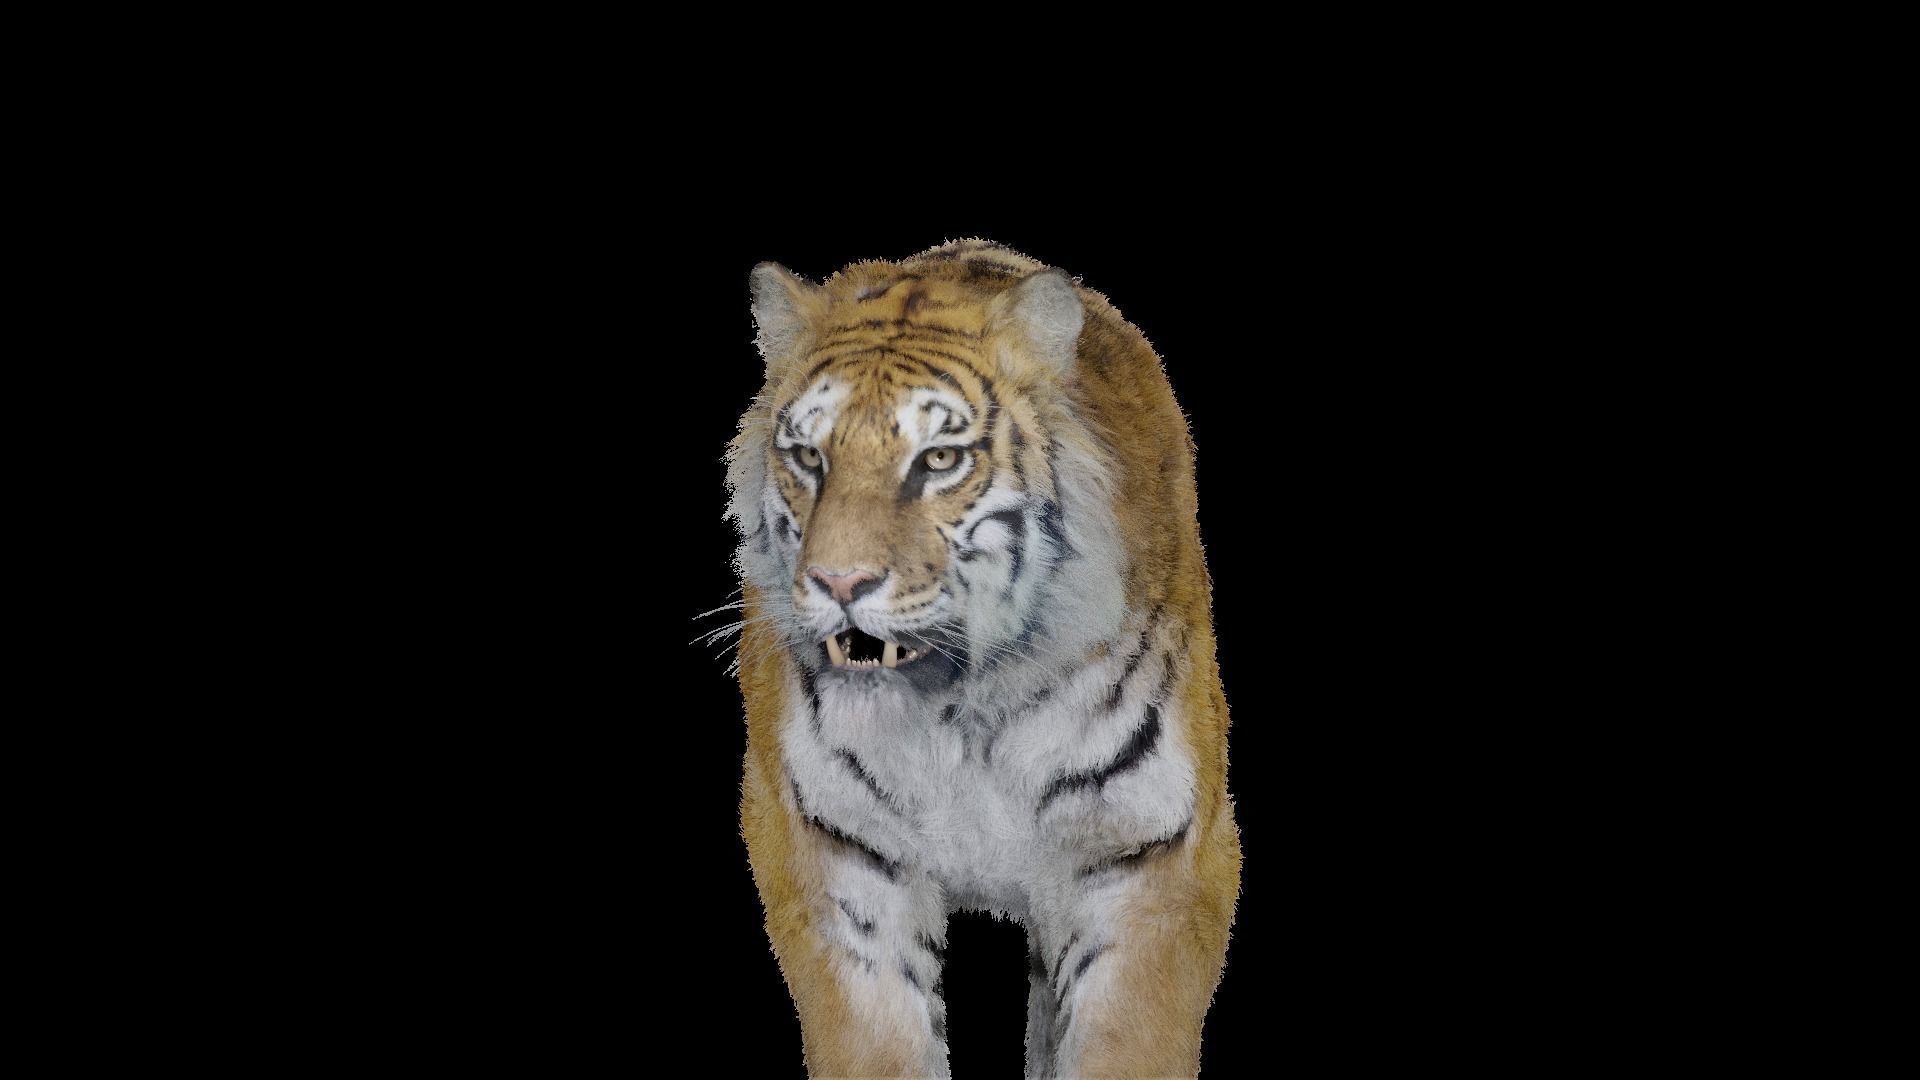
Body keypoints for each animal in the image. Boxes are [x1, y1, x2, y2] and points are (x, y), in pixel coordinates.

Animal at [724, 239, 1240, 1079]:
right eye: (807, 456)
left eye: (937, 460)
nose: (839, 583)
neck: (960, 703)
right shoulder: (837, 850)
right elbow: (877, 1039)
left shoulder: (1146, 850)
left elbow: (1126, 1040)